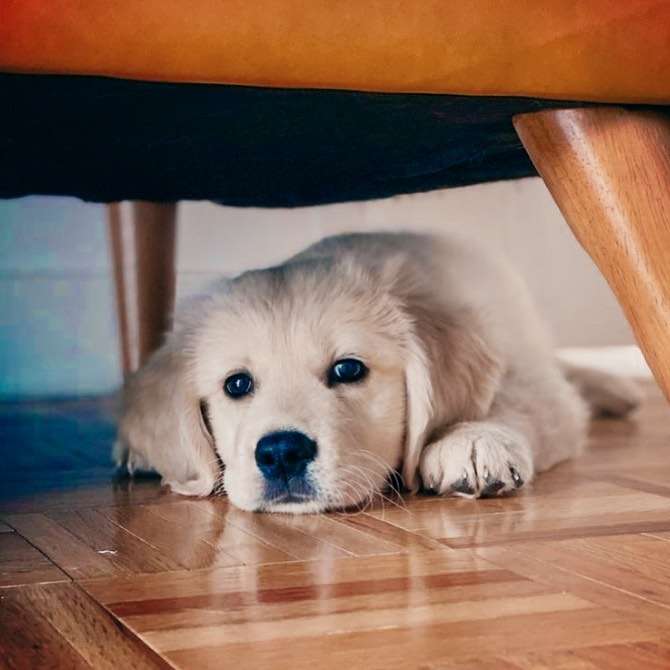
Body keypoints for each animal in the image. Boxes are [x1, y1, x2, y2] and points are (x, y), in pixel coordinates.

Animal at [114, 232, 640, 516]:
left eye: (348, 369)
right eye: (236, 384)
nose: (281, 453)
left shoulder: (531, 379)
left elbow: (518, 401)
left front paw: (471, 439)